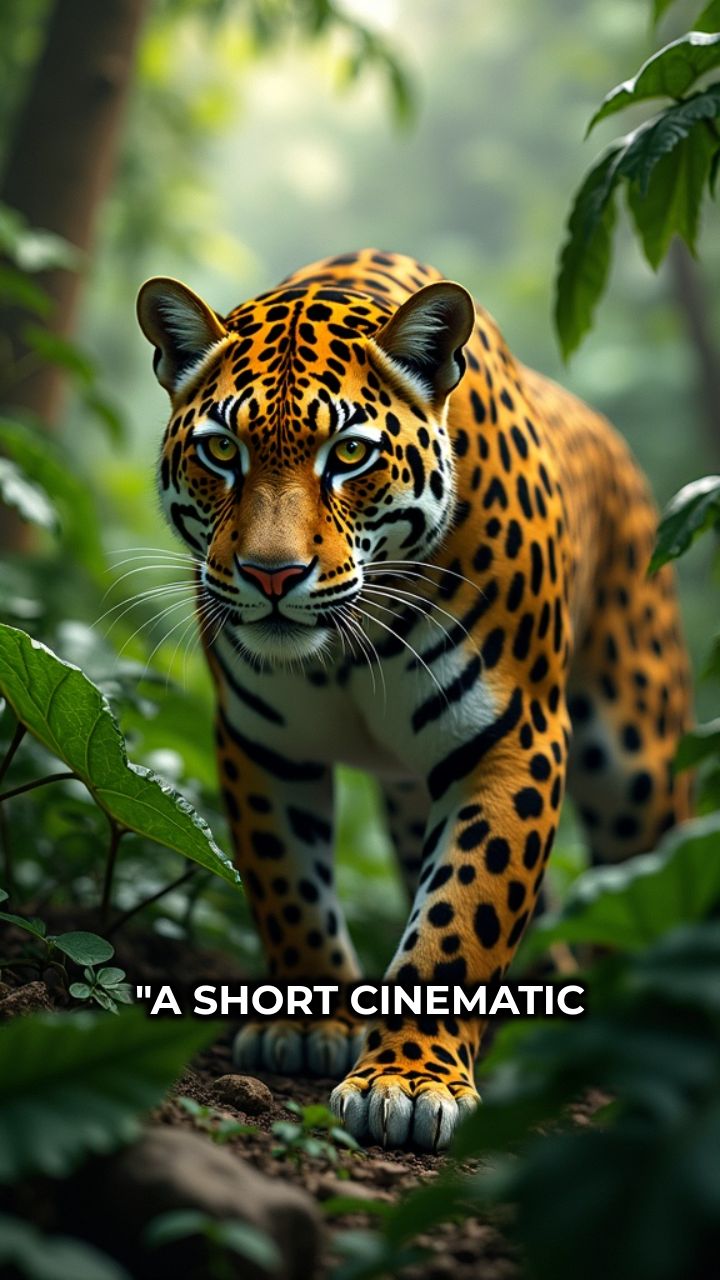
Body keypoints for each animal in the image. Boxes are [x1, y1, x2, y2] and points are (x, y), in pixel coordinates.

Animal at [137, 248, 692, 1151]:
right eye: (221, 451)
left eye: (349, 456)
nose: (271, 575)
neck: (347, 644)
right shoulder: (262, 742)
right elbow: (288, 883)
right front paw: (307, 1022)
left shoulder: (515, 737)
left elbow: (464, 912)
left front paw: (409, 1078)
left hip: (637, 764)